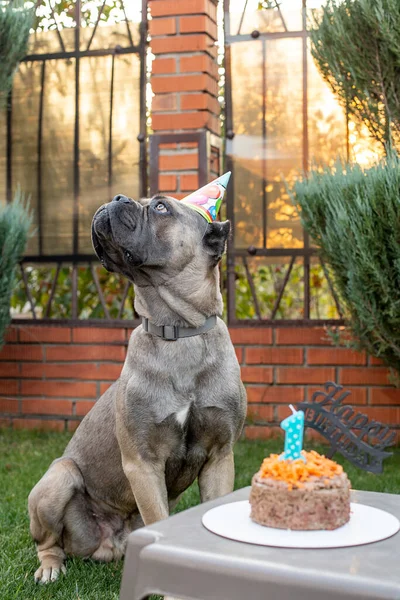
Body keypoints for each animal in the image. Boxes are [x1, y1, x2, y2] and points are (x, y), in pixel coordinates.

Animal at [28, 191, 247, 580]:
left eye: (161, 207)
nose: (116, 198)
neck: (177, 330)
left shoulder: (220, 457)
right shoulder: (143, 463)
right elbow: (157, 517)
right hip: (59, 478)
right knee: (49, 542)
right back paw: (51, 568)